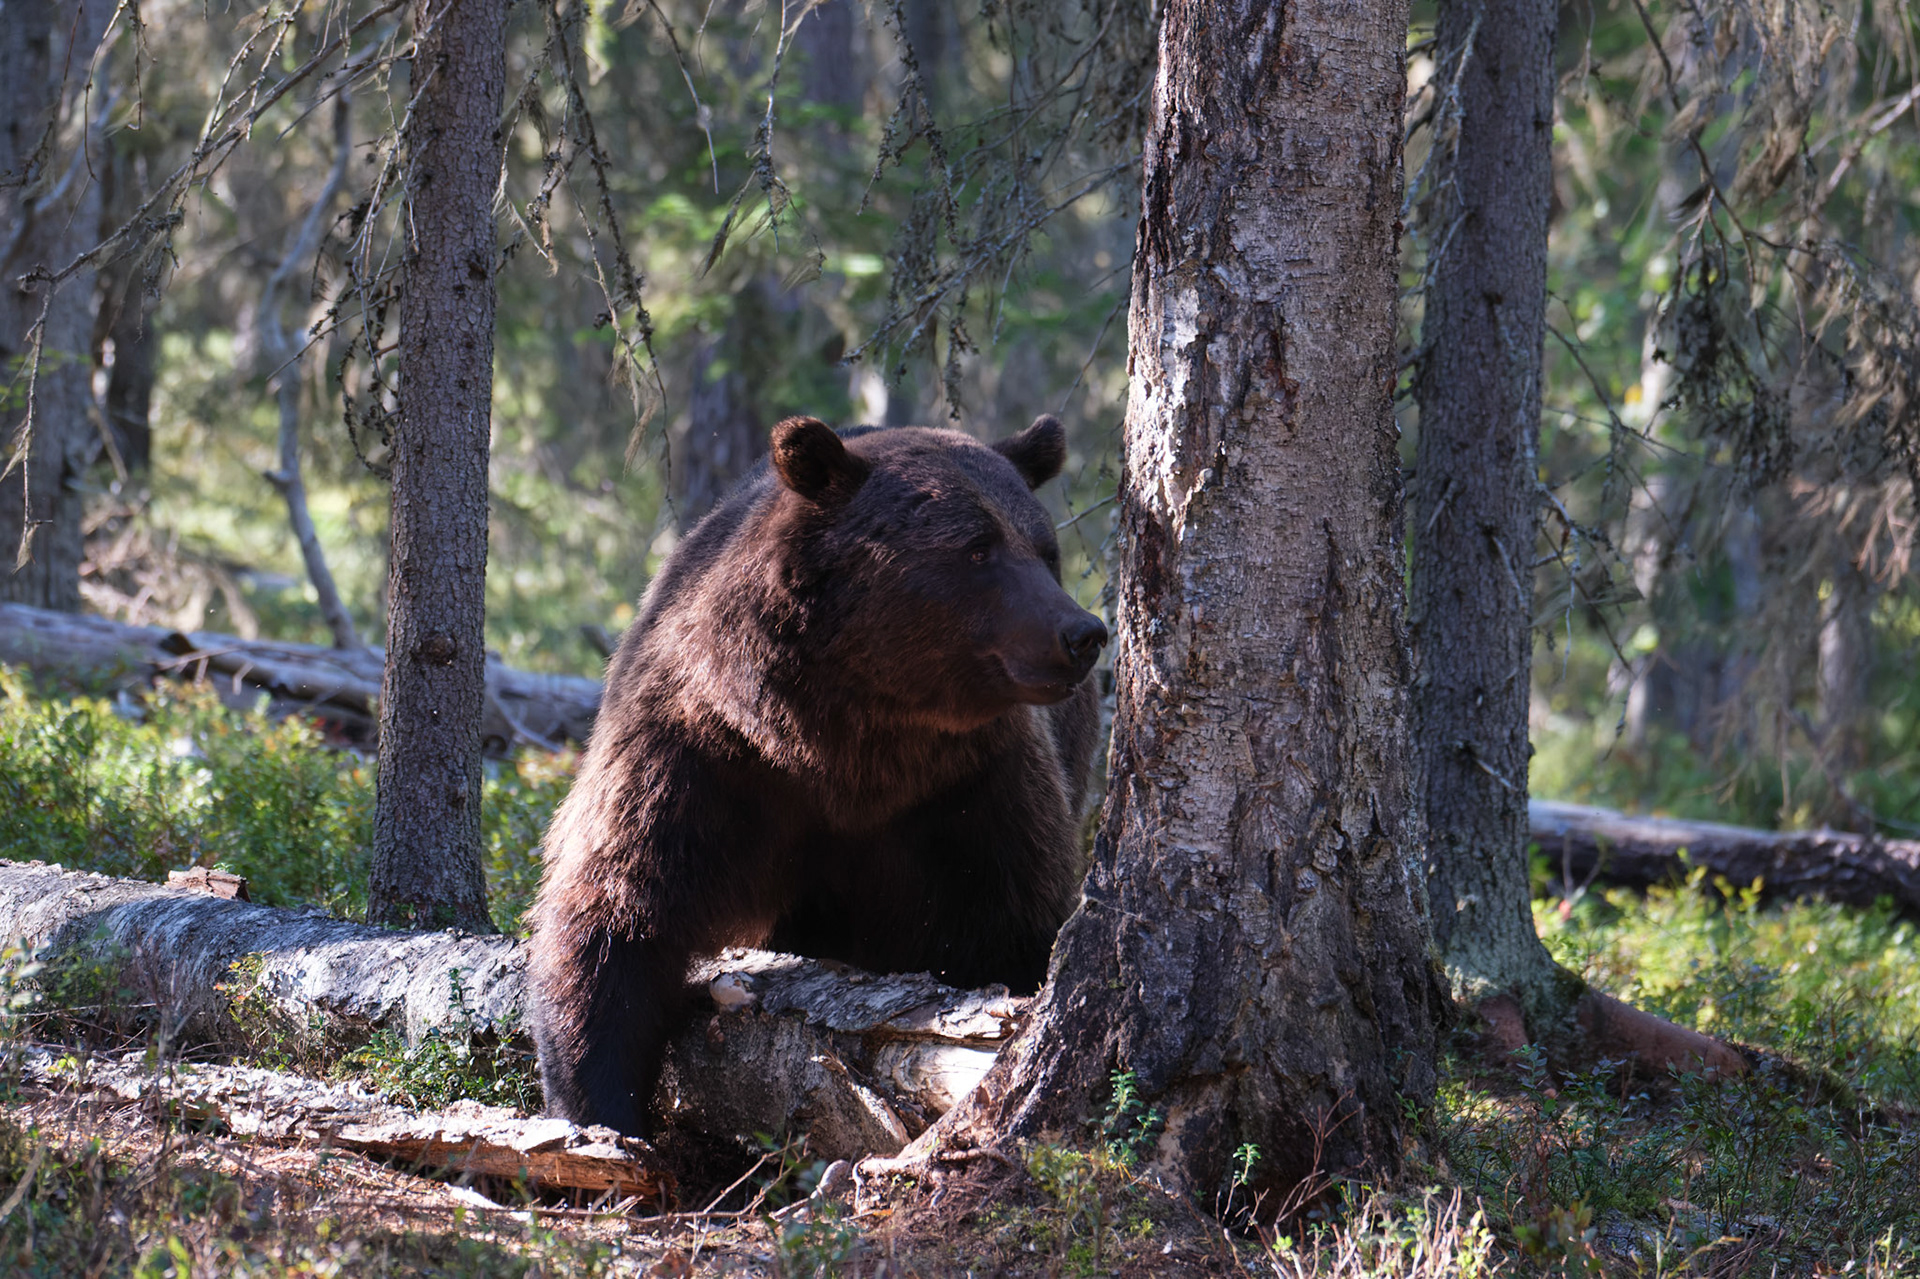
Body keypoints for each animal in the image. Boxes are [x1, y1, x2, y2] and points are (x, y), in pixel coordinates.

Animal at [527, 414, 1109, 1137]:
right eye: (978, 548)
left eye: (1044, 548)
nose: (1082, 632)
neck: (843, 744)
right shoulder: (704, 759)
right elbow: (617, 915)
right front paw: (600, 1112)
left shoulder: (971, 789)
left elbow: (1012, 925)